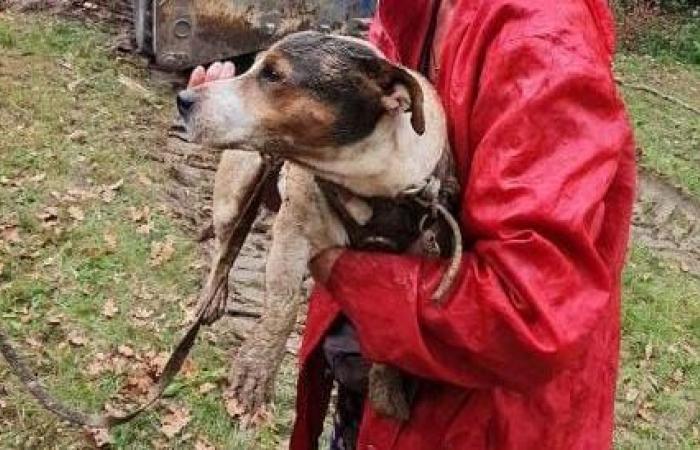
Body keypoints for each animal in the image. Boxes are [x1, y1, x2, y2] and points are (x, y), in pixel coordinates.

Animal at [175, 31, 460, 422]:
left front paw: (386, 384)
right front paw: (256, 370)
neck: (368, 179)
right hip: (235, 190)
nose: (183, 99)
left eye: (274, 74)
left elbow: (397, 318)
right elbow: (283, 304)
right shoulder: (293, 233)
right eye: (256, 67)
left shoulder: (416, 250)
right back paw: (213, 294)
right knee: (225, 246)